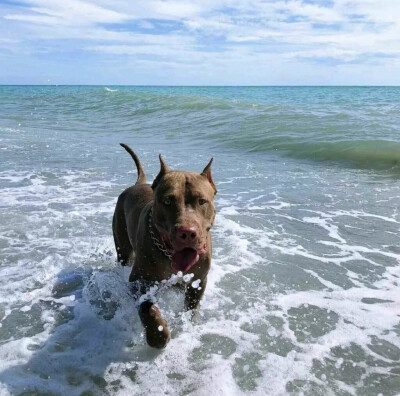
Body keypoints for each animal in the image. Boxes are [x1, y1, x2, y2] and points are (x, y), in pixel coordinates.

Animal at [112, 144, 217, 348]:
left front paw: (188, 324)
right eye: (167, 201)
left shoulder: (198, 281)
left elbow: (191, 309)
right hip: (122, 247)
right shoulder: (139, 281)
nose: (187, 232)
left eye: (202, 201)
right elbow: (148, 309)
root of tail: (138, 183)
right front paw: (158, 335)